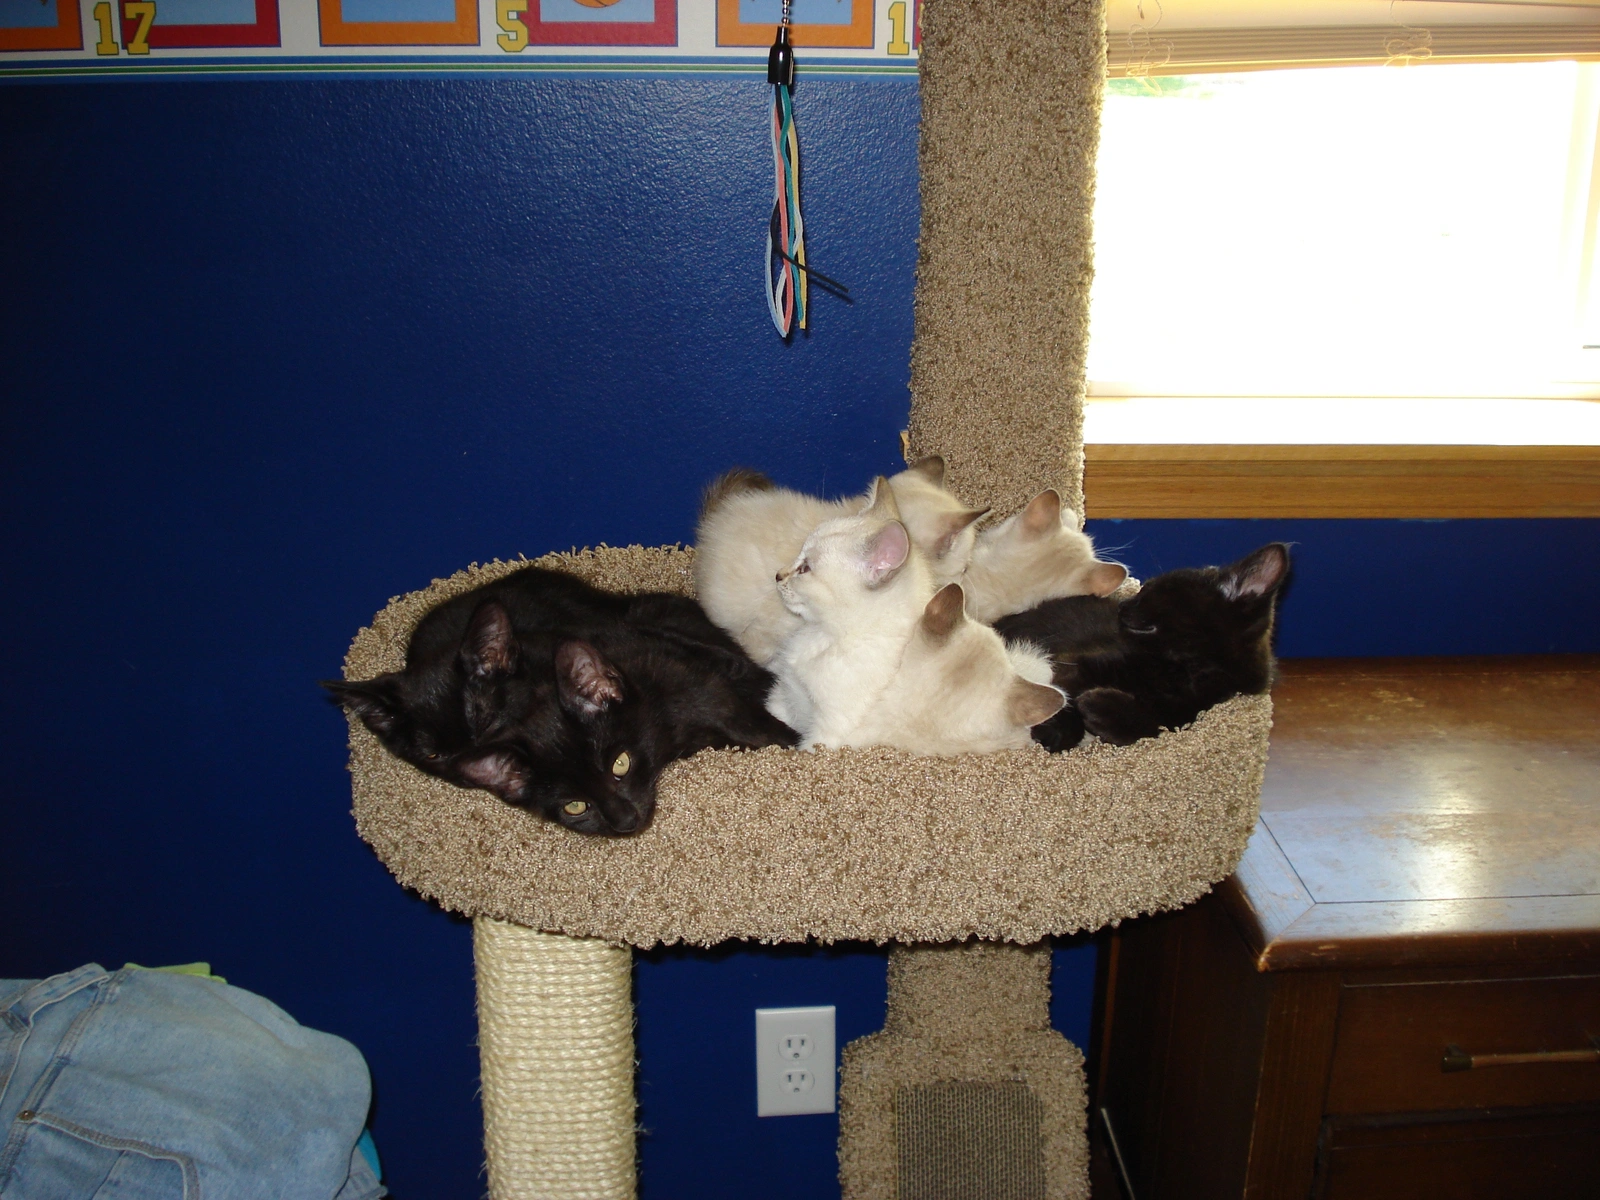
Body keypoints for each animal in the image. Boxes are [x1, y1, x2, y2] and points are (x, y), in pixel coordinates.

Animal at [995, 543, 1290, 748]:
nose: (1123, 605)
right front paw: (1056, 730)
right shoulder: (1073, 662)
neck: (1179, 668)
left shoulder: (1191, 713)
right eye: (1143, 588)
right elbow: (1060, 694)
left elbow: (1152, 726)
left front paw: (1099, 705)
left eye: (1153, 591)